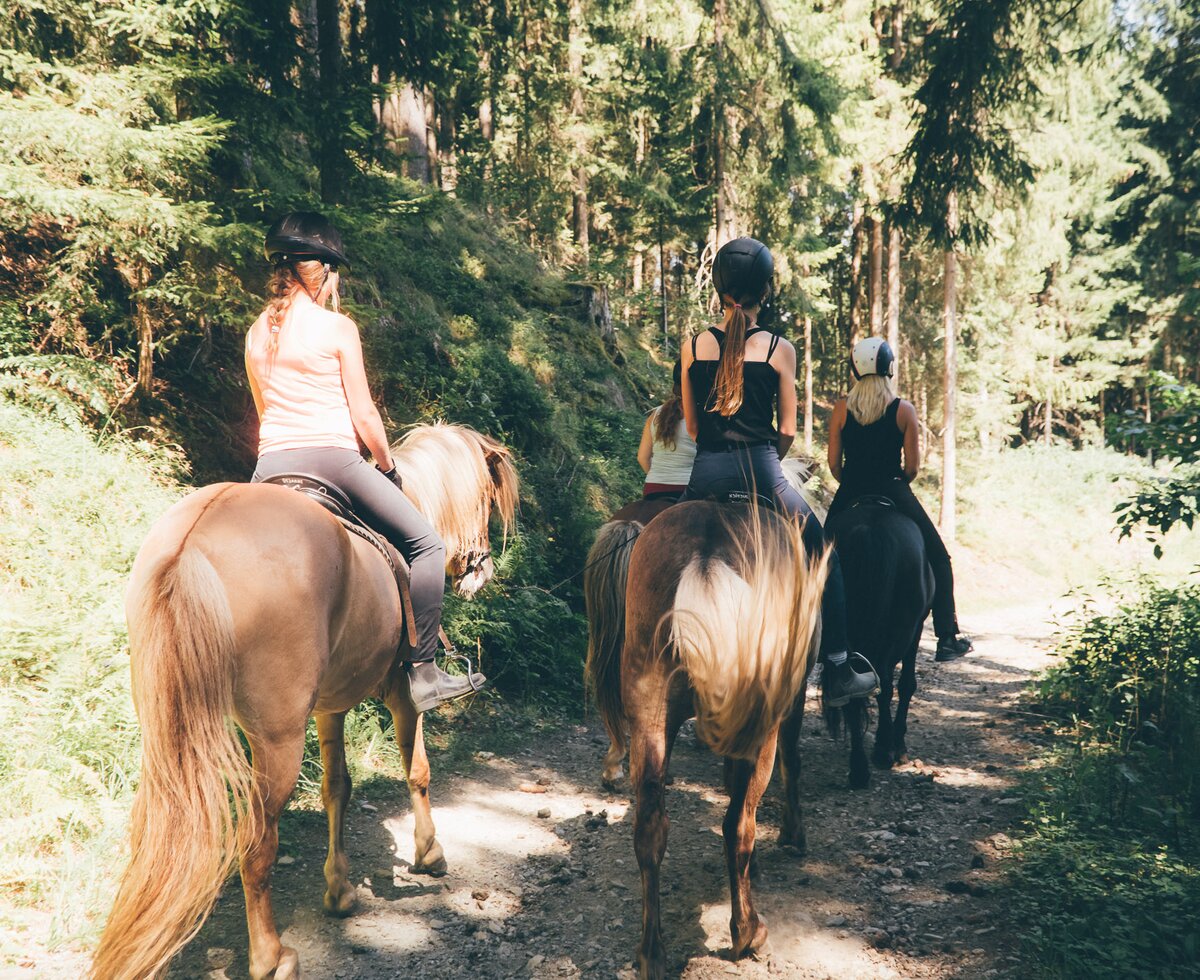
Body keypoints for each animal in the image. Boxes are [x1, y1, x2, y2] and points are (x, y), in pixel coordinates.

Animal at [94, 424, 520, 978]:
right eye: (487, 499)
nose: (481, 571)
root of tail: (195, 535)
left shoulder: (329, 706)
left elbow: (336, 788)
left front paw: (339, 890)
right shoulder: (402, 696)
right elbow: (418, 771)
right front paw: (429, 852)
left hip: (174, 732)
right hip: (277, 740)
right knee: (256, 843)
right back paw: (270, 956)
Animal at [609, 501, 825, 974]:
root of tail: (706, 547)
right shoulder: (790, 697)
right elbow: (792, 761)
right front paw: (793, 834)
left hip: (649, 709)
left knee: (650, 827)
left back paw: (651, 953)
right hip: (760, 725)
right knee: (738, 824)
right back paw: (748, 932)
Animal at [825, 496, 936, 786]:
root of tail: (868, 531)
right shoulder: (916, 630)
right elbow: (906, 684)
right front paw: (898, 745)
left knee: (853, 687)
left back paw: (859, 769)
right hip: (901, 629)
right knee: (884, 682)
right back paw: (886, 750)